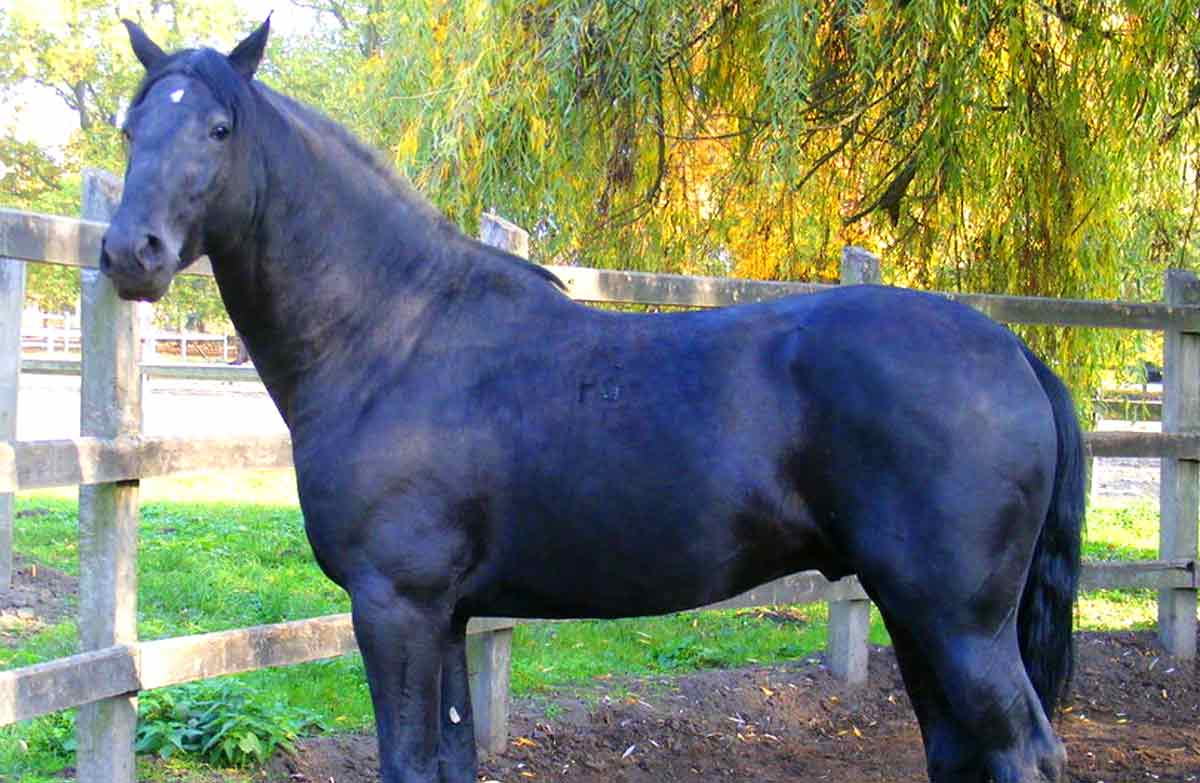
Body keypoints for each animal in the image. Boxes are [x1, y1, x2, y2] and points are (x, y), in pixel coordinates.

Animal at [101, 19, 1084, 783]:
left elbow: (408, 761)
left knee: (1021, 752)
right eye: (130, 126)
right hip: (917, 614)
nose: (128, 252)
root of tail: (1012, 350)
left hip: (958, 622)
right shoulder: (446, 617)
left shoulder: (396, 607)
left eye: (219, 127)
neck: (395, 331)